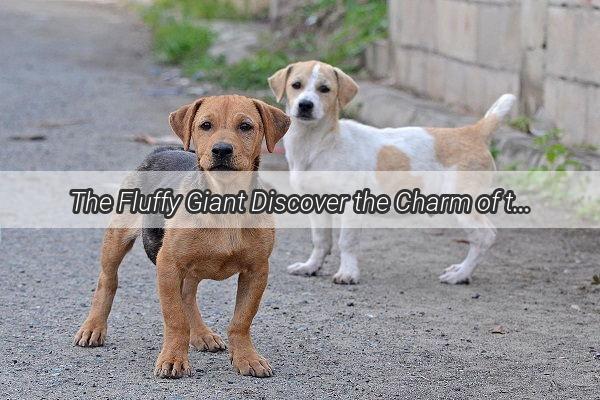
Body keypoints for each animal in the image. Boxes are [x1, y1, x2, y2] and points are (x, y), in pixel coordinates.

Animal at [74, 95, 290, 380]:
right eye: (205, 125)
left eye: (246, 126)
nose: (222, 150)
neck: (225, 200)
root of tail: (161, 149)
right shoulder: (168, 264)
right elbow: (175, 318)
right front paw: (173, 359)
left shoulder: (257, 270)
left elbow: (241, 320)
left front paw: (247, 358)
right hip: (118, 238)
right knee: (107, 281)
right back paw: (93, 328)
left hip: (192, 266)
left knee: (187, 295)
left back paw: (201, 335)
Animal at [268, 60, 516, 284]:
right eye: (296, 85)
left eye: (324, 89)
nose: (305, 105)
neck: (318, 144)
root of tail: (473, 132)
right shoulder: (316, 203)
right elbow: (320, 241)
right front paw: (311, 266)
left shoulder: (351, 205)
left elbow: (346, 242)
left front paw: (348, 273)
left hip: (463, 204)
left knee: (485, 236)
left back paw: (461, 274)